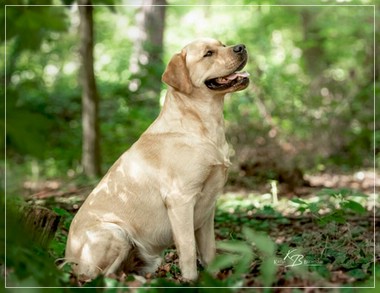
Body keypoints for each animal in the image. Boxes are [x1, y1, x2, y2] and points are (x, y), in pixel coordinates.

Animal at [65, 37, 249, 280]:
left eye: (223, 44)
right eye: (208, 53)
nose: (241, 47)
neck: (203, 126)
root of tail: (68, 260)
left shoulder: (208, 208)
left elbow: (210, 251)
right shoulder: (181, 200)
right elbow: (188, 249)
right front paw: (191, 281)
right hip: (115, 232)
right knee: (100, 277)